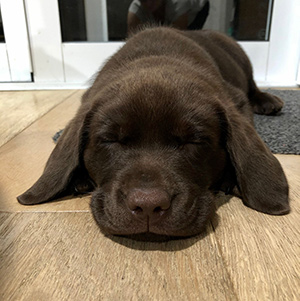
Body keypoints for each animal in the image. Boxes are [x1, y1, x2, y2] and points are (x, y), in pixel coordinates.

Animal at [17, 27, 290, 238]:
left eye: (194, 141)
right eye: (110, 140)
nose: (148, 206)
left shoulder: (236, 100)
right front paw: (79, 178)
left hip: (241, 58)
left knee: (253, 85)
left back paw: (269, 101)